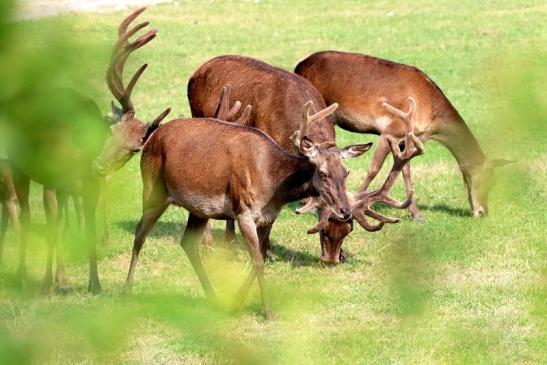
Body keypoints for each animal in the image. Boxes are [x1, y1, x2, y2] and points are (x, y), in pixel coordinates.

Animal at [188, 55, 420, 264]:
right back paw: (208, 244)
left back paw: (230, 243)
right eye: (322, 229)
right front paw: (267, 252)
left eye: (348, 230)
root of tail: (197, 71)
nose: (331, 260)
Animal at [296, 49, 512, 218]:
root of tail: (299, 65)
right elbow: (374, 169)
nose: (482, 212)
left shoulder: (409, 138)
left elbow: (405, 171)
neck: (429, 114)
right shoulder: (389, 131)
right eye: (482, 180)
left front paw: (416, 214)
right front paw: (356, 204)